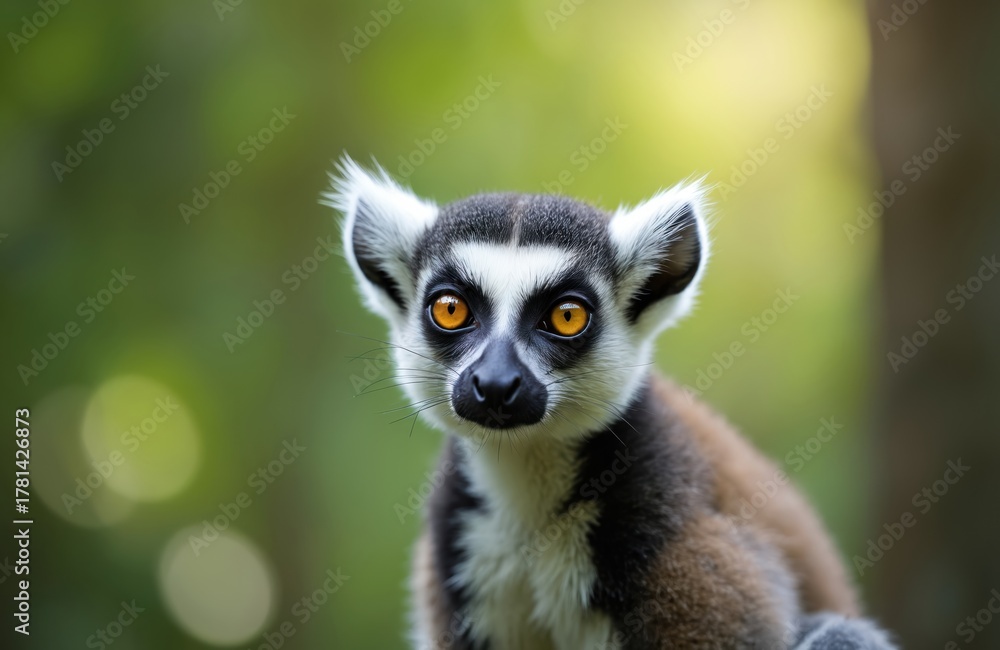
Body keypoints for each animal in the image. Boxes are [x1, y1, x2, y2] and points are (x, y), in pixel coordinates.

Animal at [327, 157, 896, 649]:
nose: (495, 383)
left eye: (567, 317)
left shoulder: (671, 536)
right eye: (450, 308)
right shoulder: (460, 546)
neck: (528, 491)